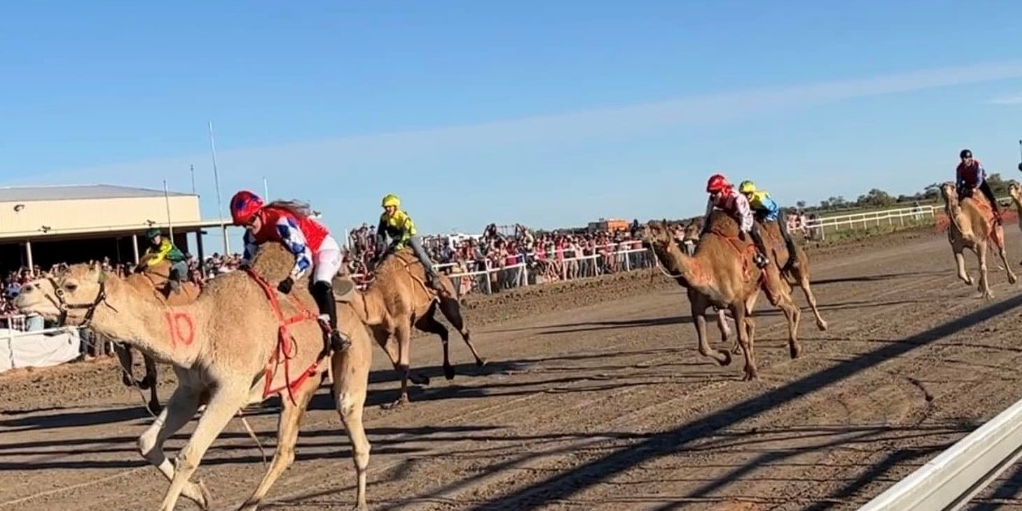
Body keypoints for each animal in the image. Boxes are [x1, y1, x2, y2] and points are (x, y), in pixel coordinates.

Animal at [349, 245, 488, 408]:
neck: (378, 300)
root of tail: (443, 274)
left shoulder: (402, 325)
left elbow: (403, 364)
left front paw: (402, 399)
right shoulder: (380, 335)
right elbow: (397, 364)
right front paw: (422, 379)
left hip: (448, 300)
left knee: (462, 329)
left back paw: (481, 361)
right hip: (423, 319)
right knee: (443, 330)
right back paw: (448, 371)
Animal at [641, 211, 801, 380]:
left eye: (657, 228)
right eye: (643, 227)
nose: (642, 235)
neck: (706, 269)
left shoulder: (736, 302)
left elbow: (742, 338)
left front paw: (752, 372)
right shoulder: (697, 307)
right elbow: (703, 347)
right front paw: (726, 358)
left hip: (770, 276)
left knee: (786, 306)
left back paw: (794, 349)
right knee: (757, 320)